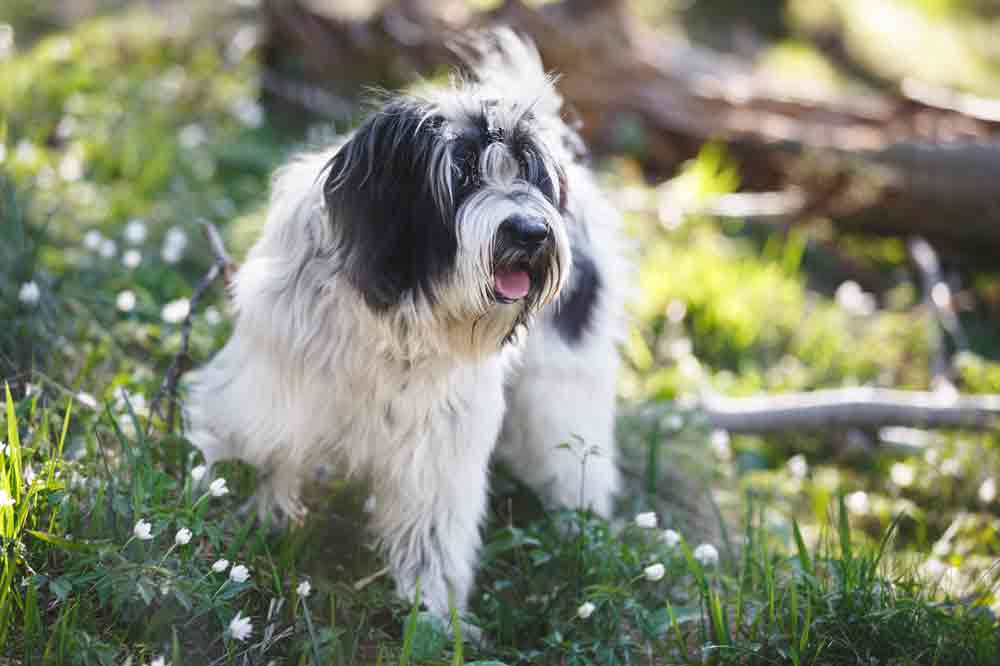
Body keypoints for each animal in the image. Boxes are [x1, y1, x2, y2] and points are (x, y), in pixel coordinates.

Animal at [186, 31, 624, 620]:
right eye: (461, 171)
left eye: (530, 175)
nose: (532, 232)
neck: (398, 308)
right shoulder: (273, 388)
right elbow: (261, 454)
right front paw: (251, 526)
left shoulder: (440, 442)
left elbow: (431, 530)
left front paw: (433, 614)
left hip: (563, 386)